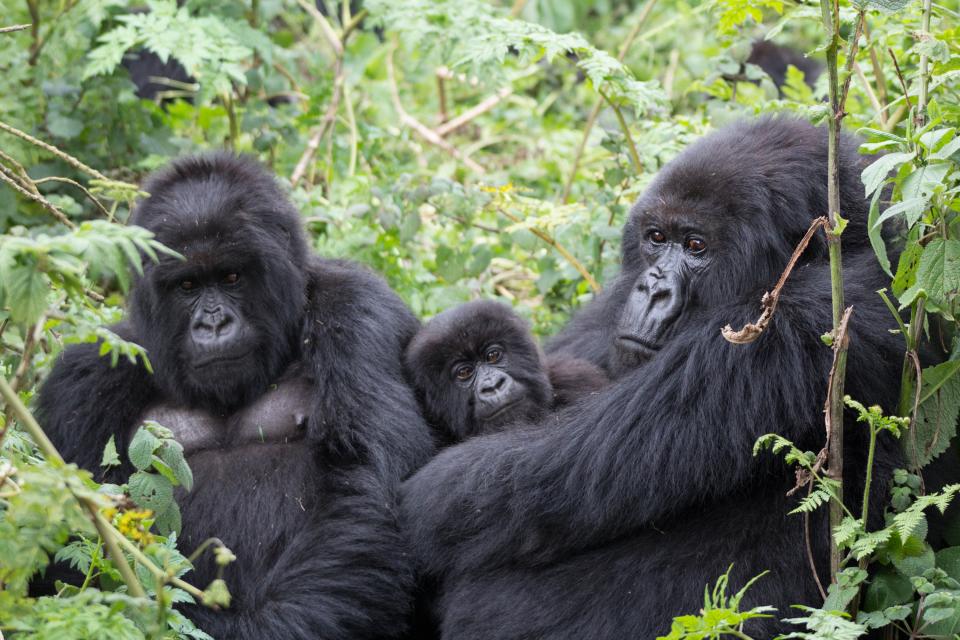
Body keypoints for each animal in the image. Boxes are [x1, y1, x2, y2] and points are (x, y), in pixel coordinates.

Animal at [37, 155, 434, 640]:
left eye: (231, 277)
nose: (213, 323)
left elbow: (366, 485)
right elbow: (66, 548)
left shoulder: (358, 312)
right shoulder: (83, 379)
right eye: (187, 286)